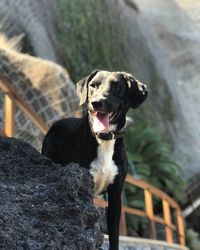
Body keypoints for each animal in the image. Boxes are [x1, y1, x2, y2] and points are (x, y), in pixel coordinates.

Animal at [41, 70, 148, 250]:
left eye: (117, 87)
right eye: (93, 85)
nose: (97, 103)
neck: (103, 139)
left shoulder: (115, 195)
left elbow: (114, 235)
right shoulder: (84, 186)